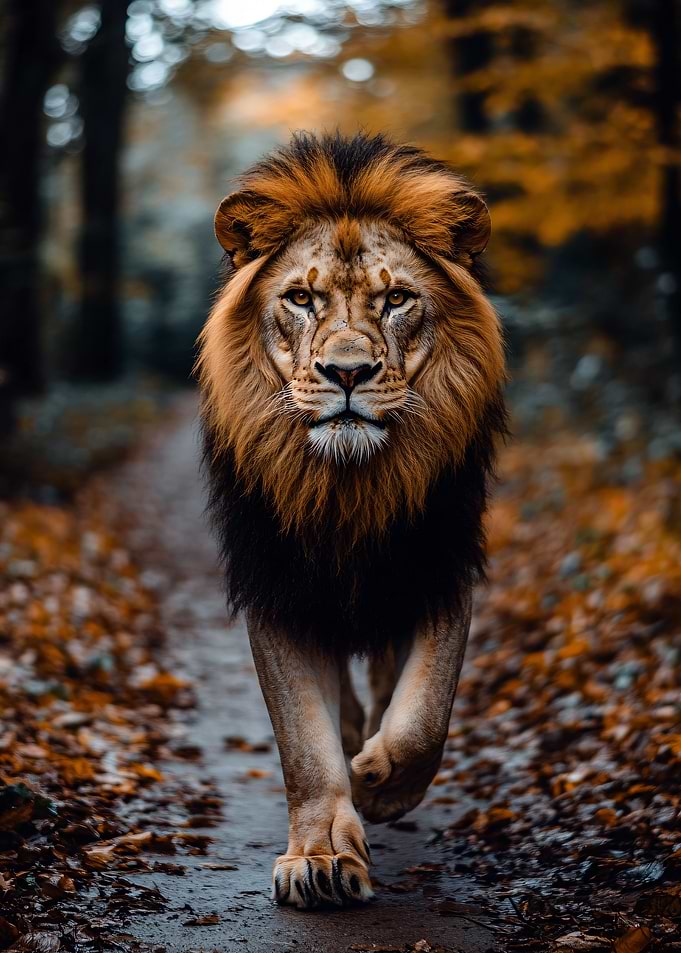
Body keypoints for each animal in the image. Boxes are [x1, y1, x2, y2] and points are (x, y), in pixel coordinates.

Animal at [197, 132, 507, 910]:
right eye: (301, 298)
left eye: (396, 299)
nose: (346, 373)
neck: (347, 489)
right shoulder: (277, 584)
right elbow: (303, 745)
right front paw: (321, 854)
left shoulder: (438, 565)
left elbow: (424, 715)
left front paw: (380, 782)